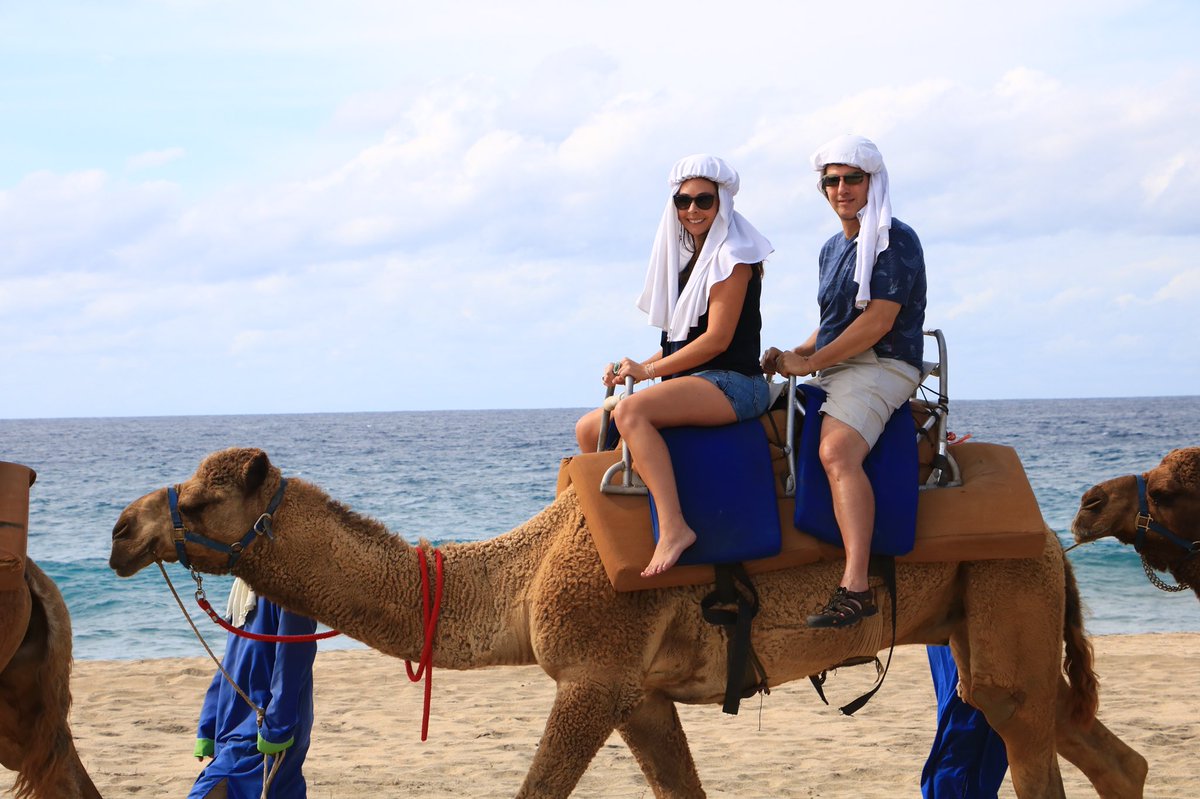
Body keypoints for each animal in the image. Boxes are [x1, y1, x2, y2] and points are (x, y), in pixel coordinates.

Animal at [110, 447, 1148, 798]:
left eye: (198, 499)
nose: (121, 530)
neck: (524, 568)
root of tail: (1053, 538)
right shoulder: (639, 694)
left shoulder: (592, 673)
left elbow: (535, 789)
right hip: (993, 619)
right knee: (1100, 748)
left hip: (1005, 595)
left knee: (1031, 743)